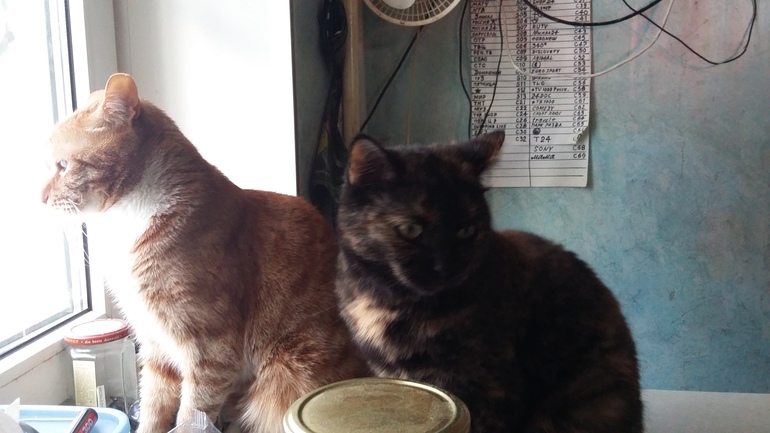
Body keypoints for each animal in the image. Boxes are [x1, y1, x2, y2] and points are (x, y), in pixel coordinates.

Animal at [41, 73, 369, 433]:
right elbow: (154, 405)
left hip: (291, 372)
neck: (127, 220)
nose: (41, 197)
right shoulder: (155, 345)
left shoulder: (210, 351)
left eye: (63, 166)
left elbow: (191, 414)